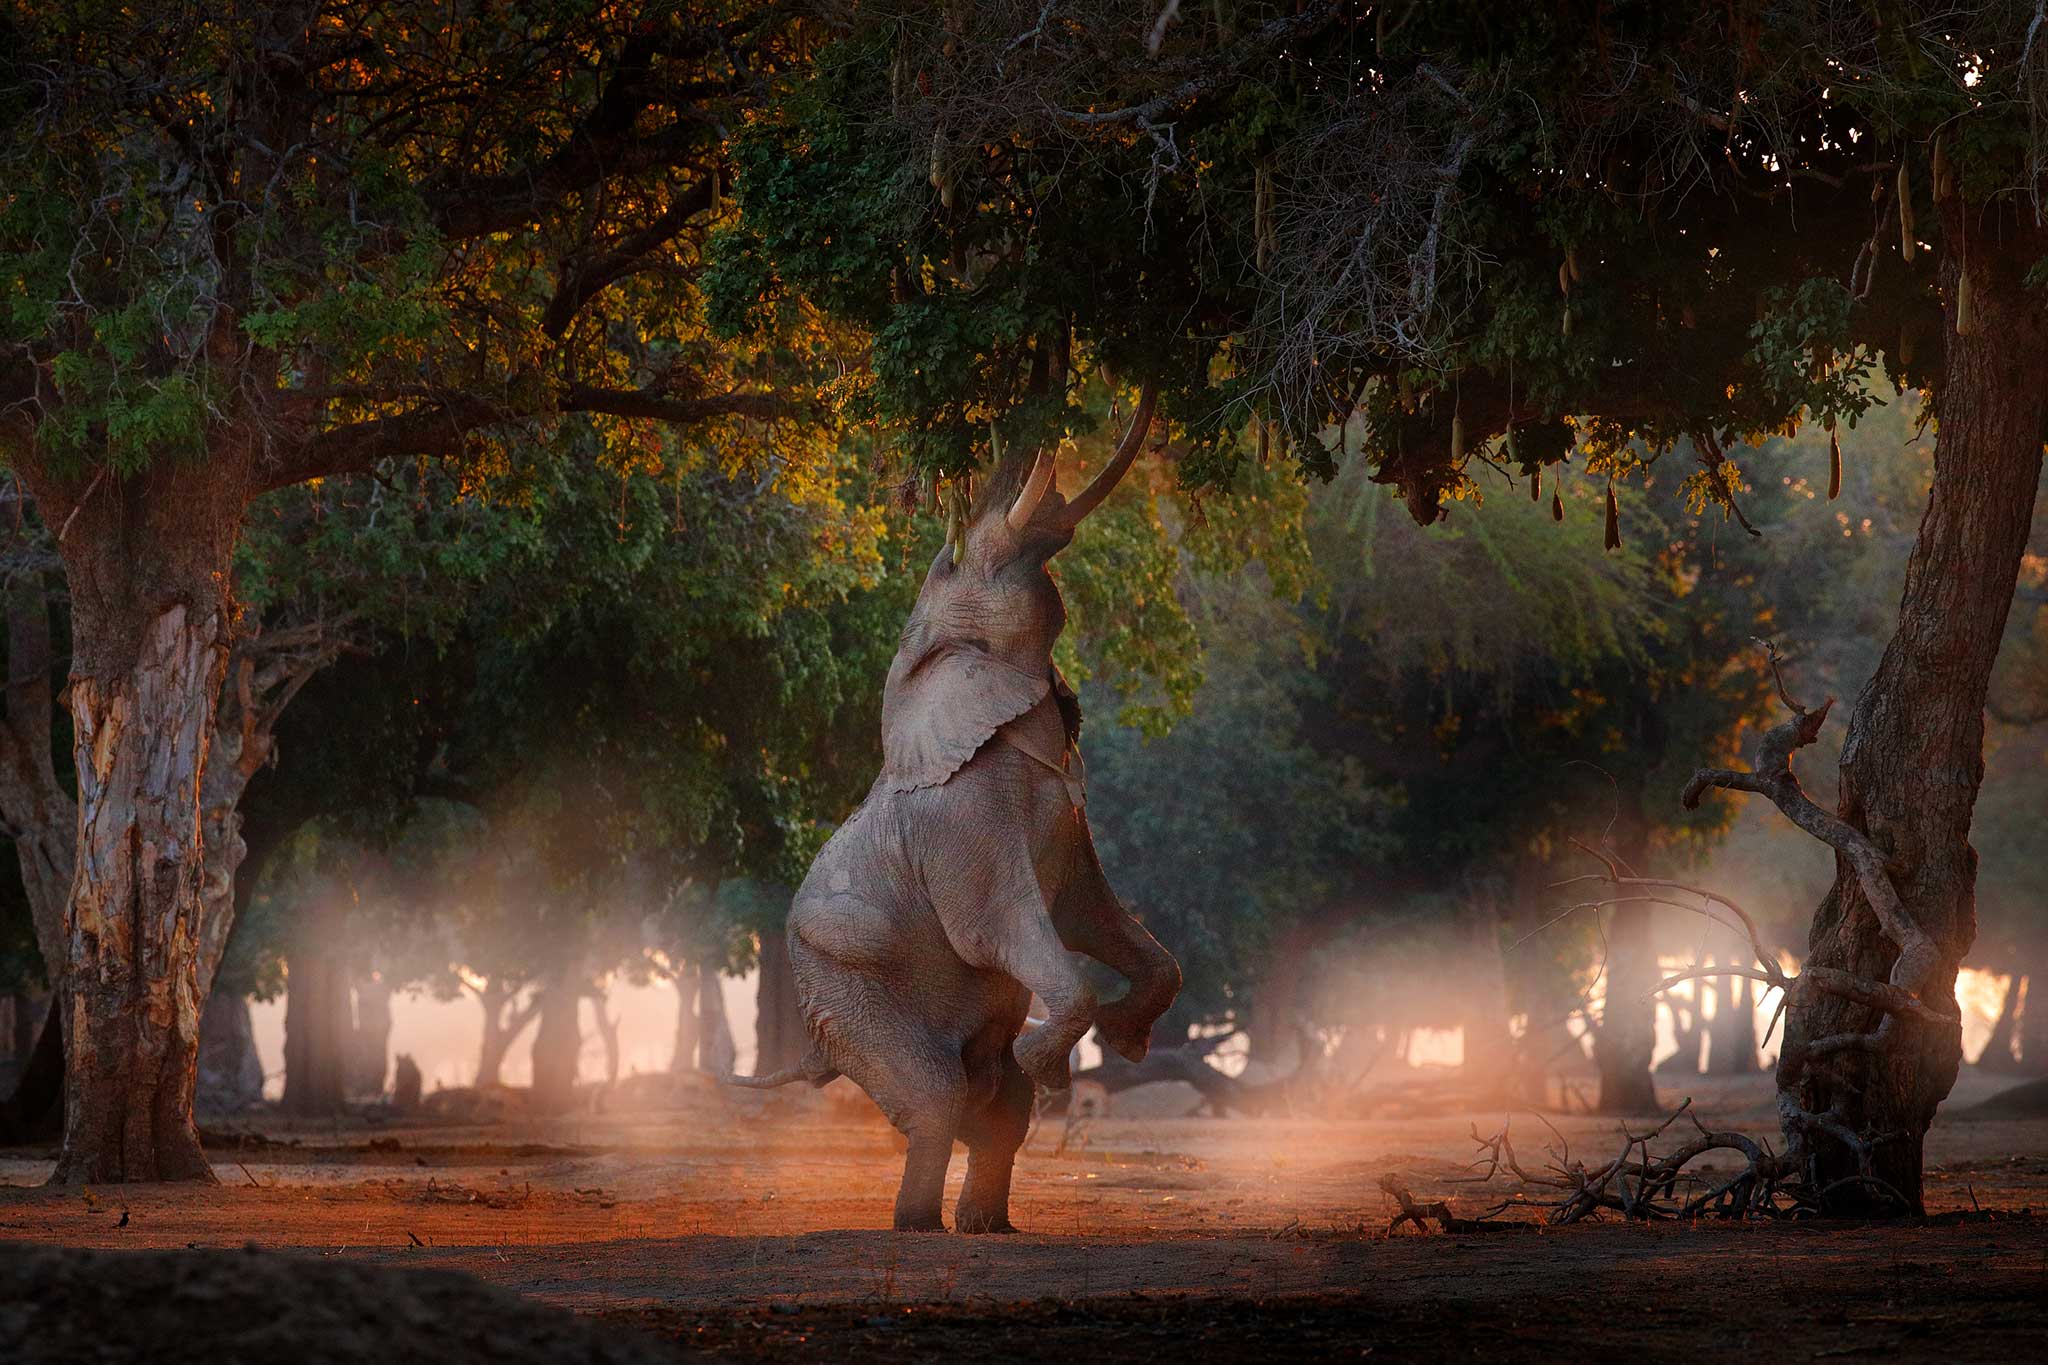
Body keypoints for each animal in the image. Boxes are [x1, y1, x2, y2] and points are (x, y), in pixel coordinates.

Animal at [737, 384, 1187, 1236]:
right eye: (955, 558)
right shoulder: (960, 820)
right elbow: (994, 924)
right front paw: (1054, 1059)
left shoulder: (1069, 817)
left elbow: (1089, 910)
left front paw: (1128, 1039)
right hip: (842, 986)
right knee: (938, 1092)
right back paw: (919, 1223)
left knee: (997, 1103)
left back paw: (991, 1224)